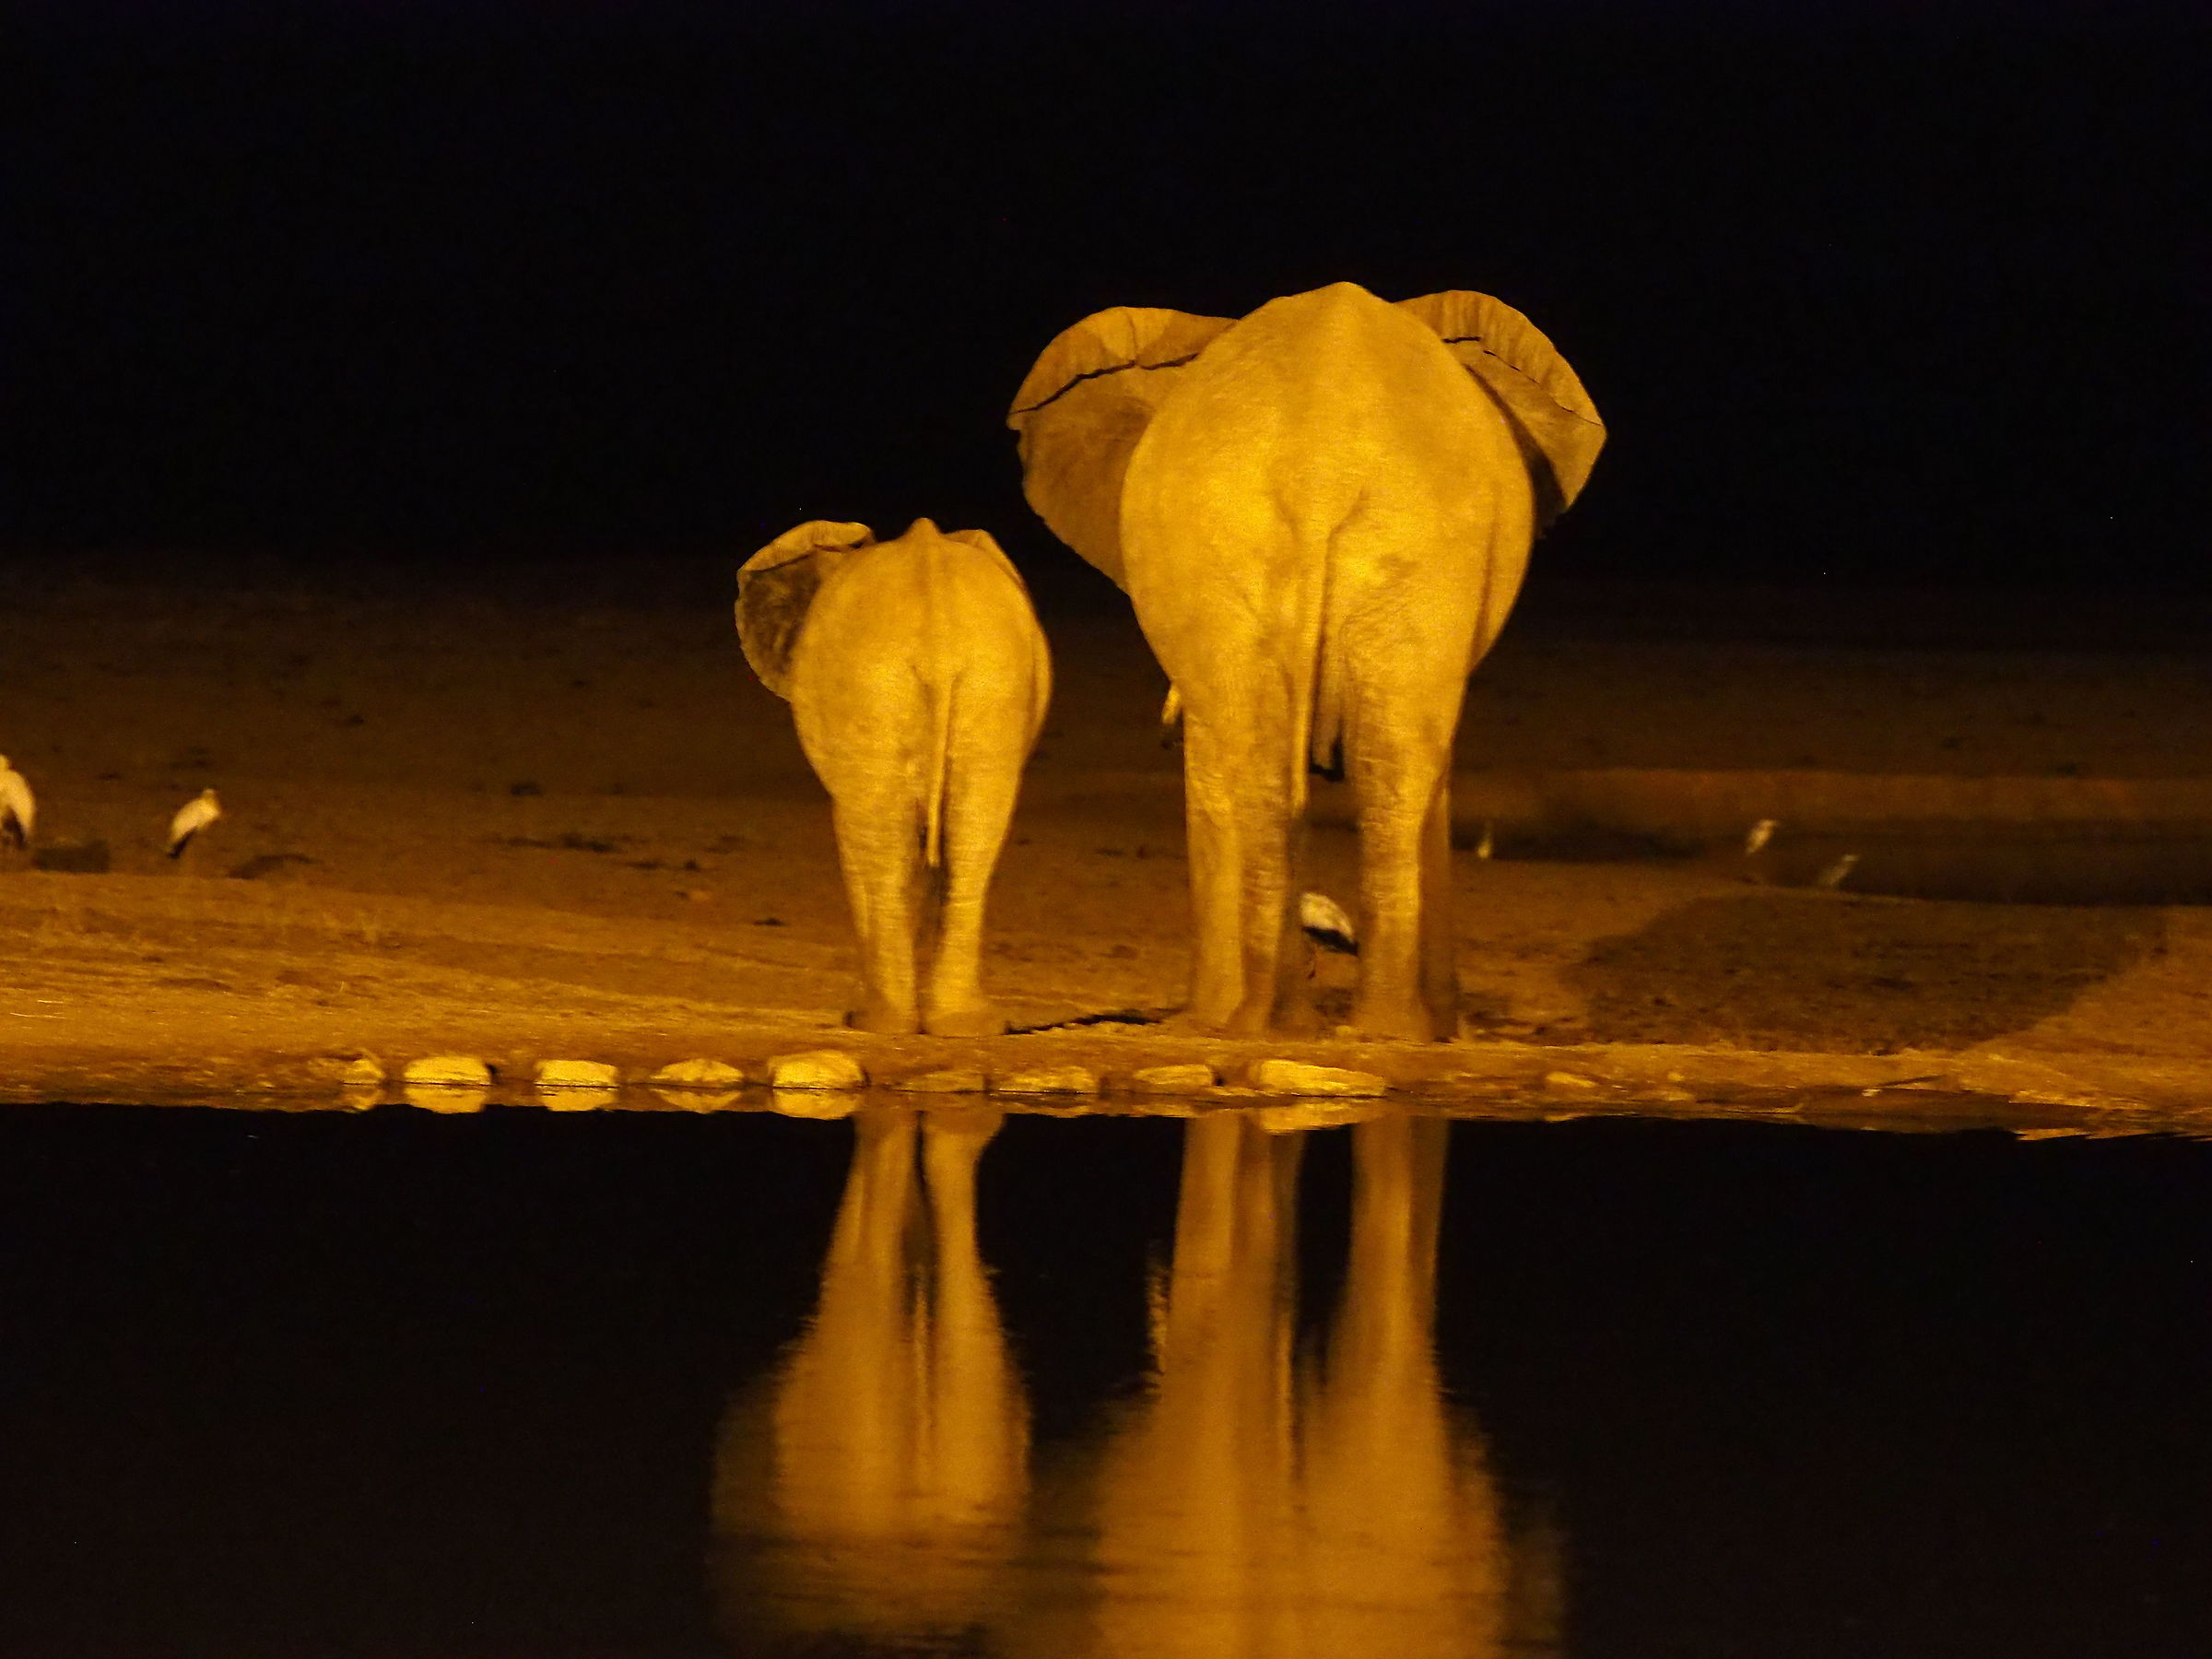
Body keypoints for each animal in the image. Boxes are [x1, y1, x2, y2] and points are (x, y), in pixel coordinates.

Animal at [736, 517, 1052, 1035]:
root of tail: (938, 627)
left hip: (874, 682)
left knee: (883, 839)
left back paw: (874, 1021)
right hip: (993, 681)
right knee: (972, 835)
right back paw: (965, 1025)